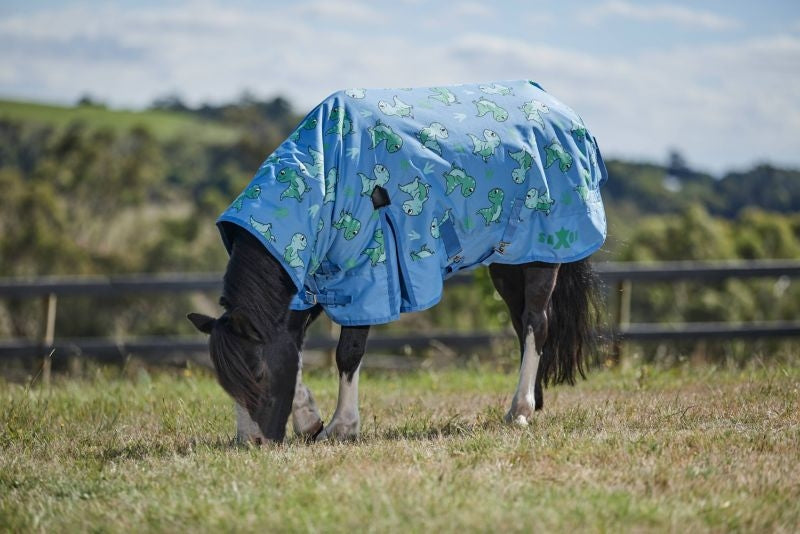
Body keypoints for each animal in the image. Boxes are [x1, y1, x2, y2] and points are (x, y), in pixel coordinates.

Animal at [188, 80, 607, 442]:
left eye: (258, 374)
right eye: (226, 383)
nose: (252, 443)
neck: (327, 178)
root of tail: (558, 108)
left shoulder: (368, 273)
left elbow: (347, 352)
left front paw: (341, 427)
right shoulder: (314, 278)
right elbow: (294, 345)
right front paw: (309, 419)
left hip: (543, 252)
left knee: (537, 322)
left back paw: (520, 409)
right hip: (509, 262)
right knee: (524, 325)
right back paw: (532, 404)